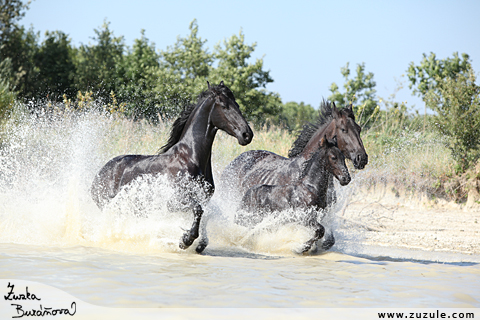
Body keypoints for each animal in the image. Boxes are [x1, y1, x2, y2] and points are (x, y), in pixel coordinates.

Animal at [91, 82, 253, 252]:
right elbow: (198, 210)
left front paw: (200, 244)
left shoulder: (205, 199)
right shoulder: (173, 203)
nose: (247, 134)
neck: (190, 158)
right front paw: (186, 240)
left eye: (237, 104)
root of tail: (100, 172)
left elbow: (205, 215)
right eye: (224, 105)